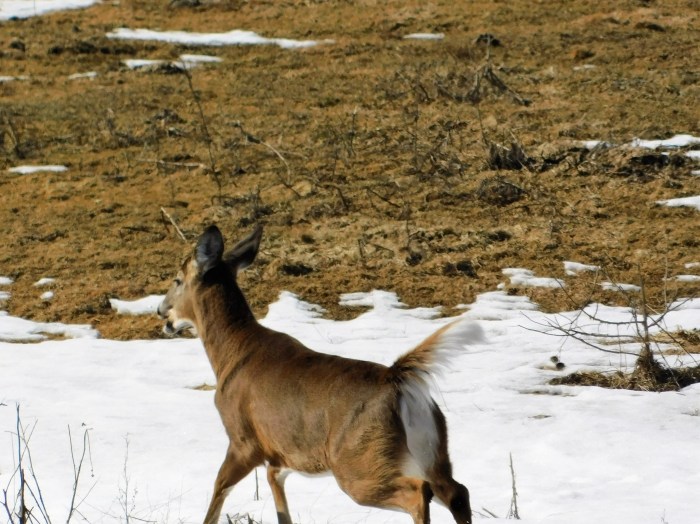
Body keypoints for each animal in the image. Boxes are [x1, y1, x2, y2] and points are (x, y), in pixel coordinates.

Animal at [157, 224, 484, 524]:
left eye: (177, 280)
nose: (161, 310)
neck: (230, 352)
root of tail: (399, 380)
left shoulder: (243, 440)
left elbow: (218, 490)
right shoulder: (280, 458)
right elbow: (280, 507)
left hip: (357, 462)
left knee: (419, 492)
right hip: (432, 451)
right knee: (458, 491)